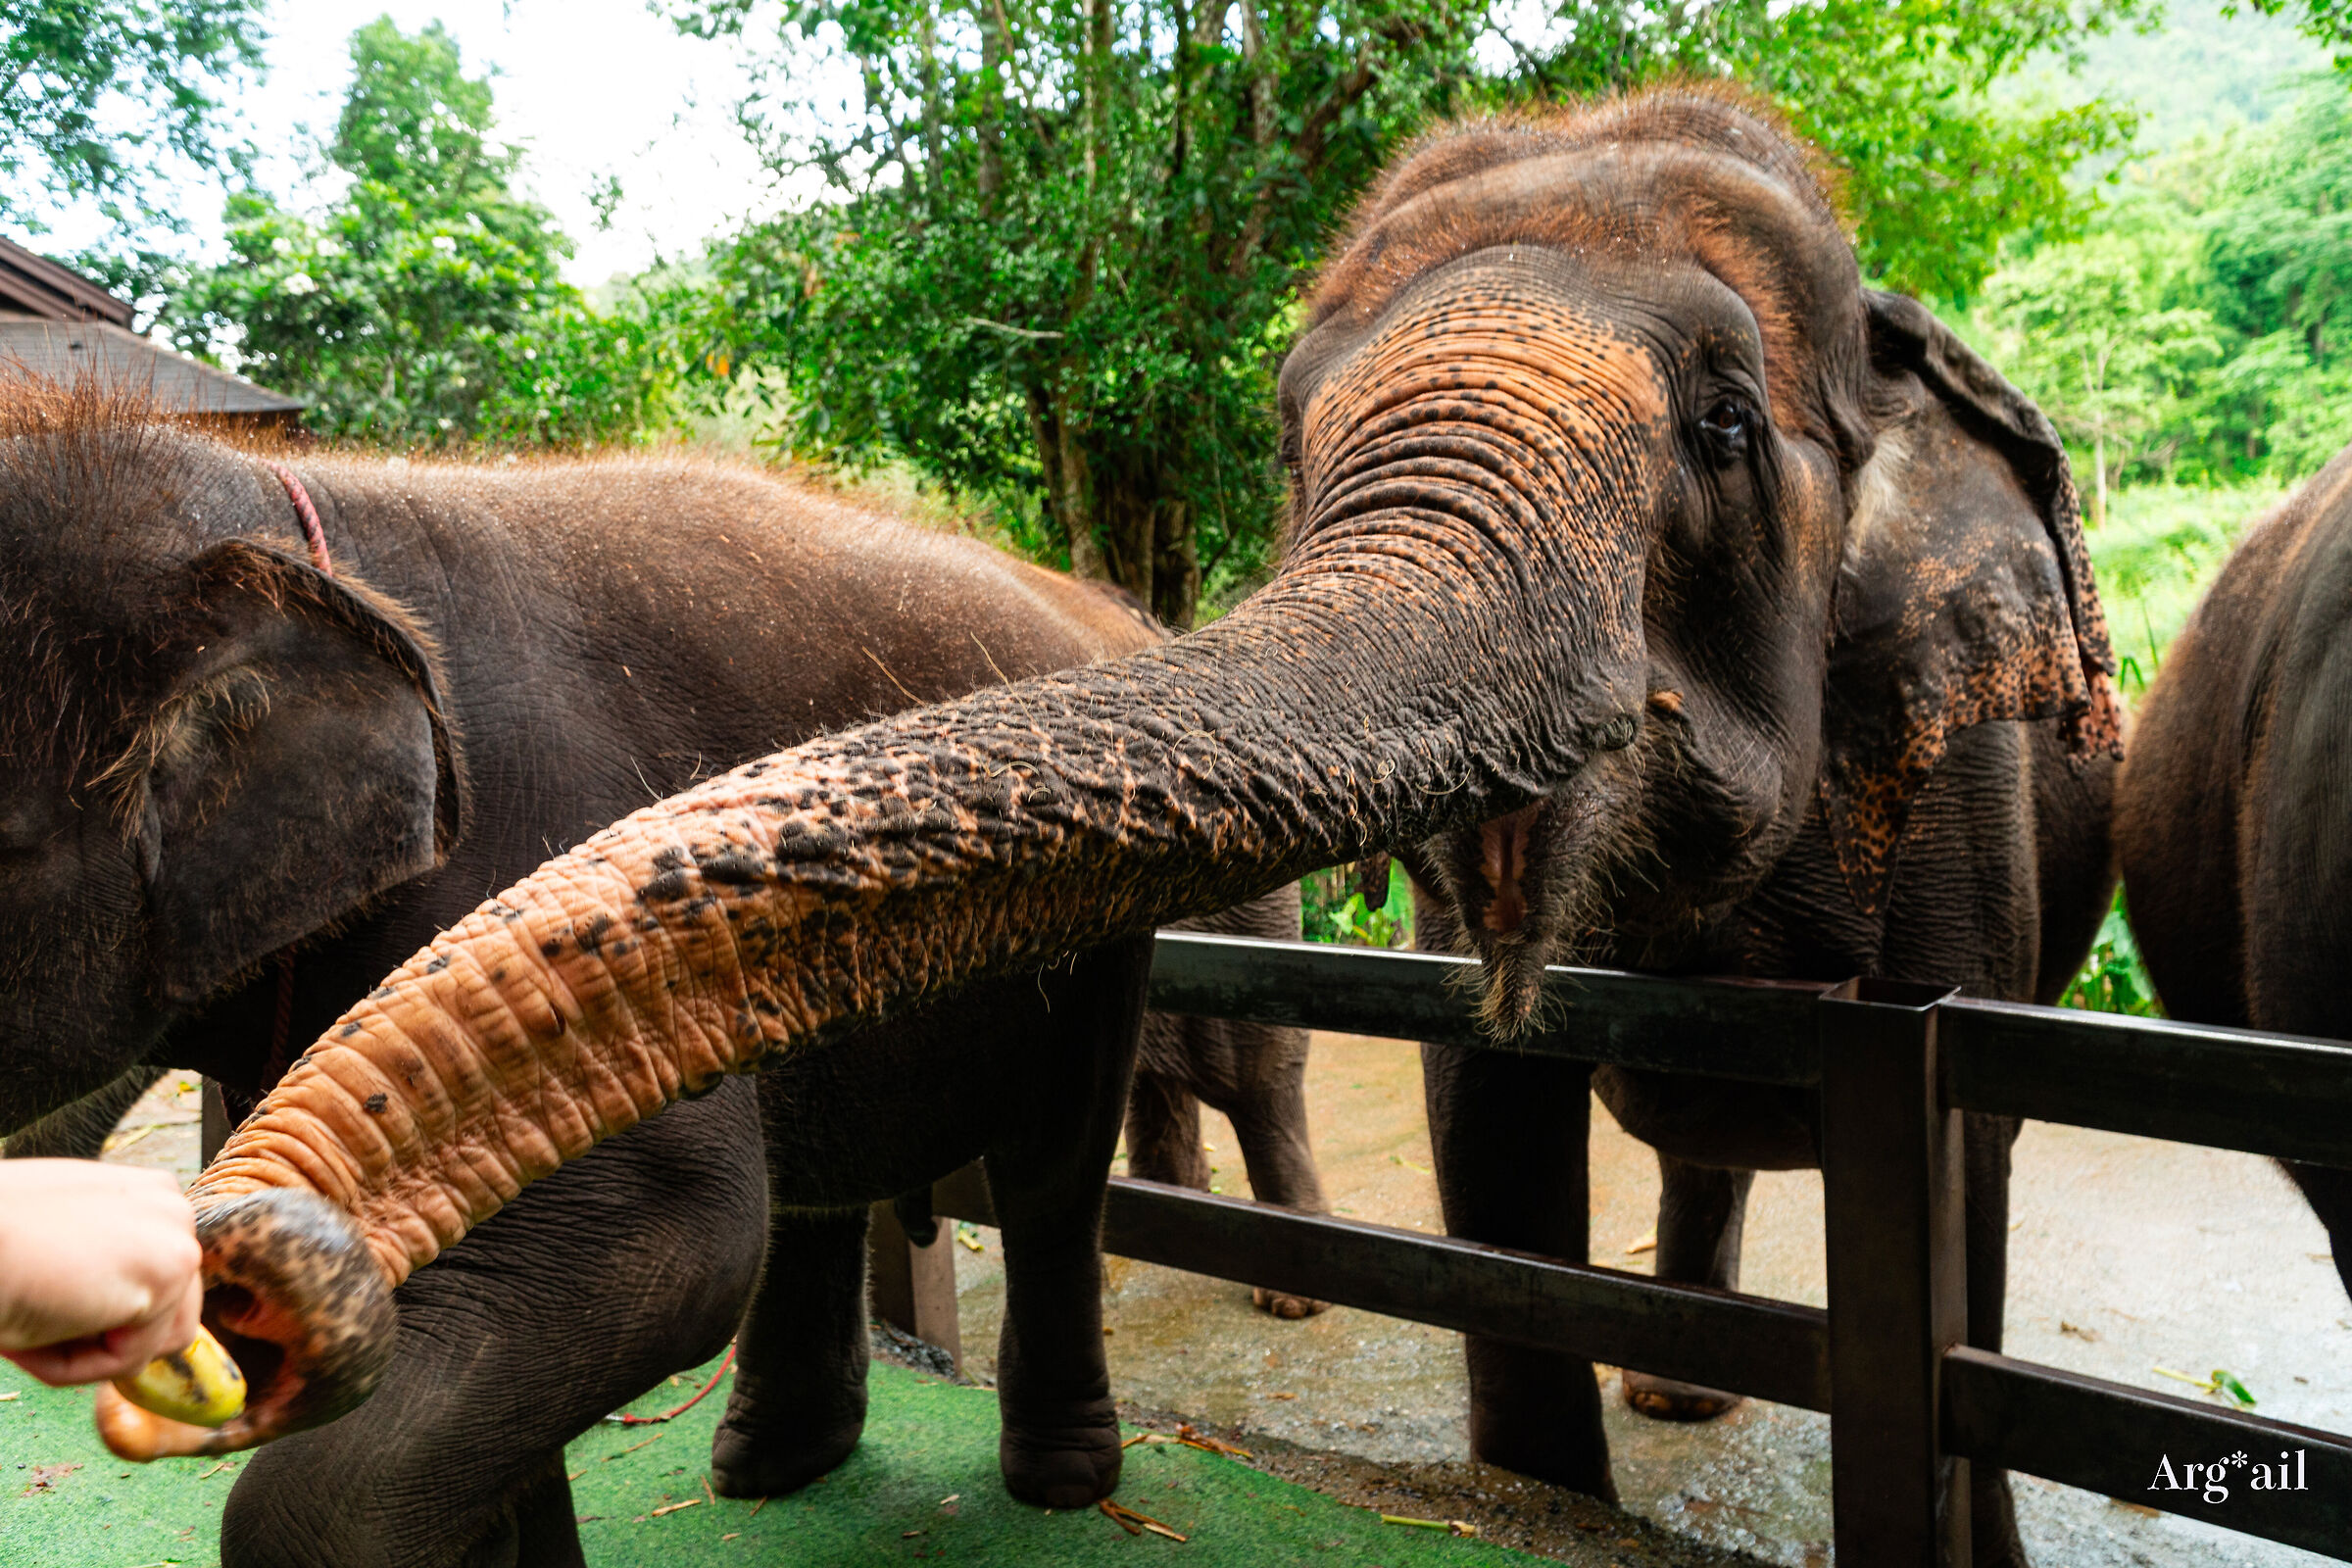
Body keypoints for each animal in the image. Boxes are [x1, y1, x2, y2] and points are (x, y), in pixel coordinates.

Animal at [0, 385, 1316, 1566]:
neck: (280, 501)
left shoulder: (533, 833)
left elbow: (671, 1232)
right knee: (817, 1190)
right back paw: (771, 1465)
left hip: (1095, 925)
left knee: (1051, 1166)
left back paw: (1061, 1479)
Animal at [142, 88, 2117, 1568]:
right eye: (1295, 434)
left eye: (1721, 423)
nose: (244, 1276)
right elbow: (1490, 1130)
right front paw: (1545, 1482)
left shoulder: (1963, 784)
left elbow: (1966, 1143)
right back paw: (1680, 1396)